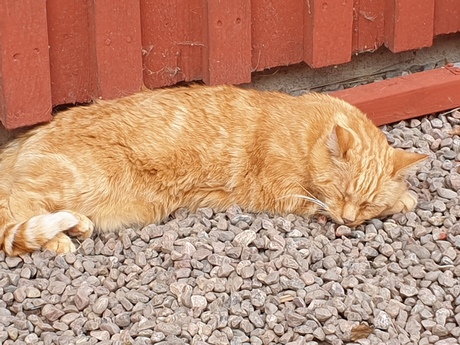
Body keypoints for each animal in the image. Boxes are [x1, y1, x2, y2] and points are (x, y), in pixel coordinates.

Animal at [0, 84, 428, 254]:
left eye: (367, 204)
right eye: (341, 194)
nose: (349, 220)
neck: (307, 133)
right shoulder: (288, 194)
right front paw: (406, 199)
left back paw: (77, 226)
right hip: (81, 181)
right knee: (16, 209)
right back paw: (58, 239)